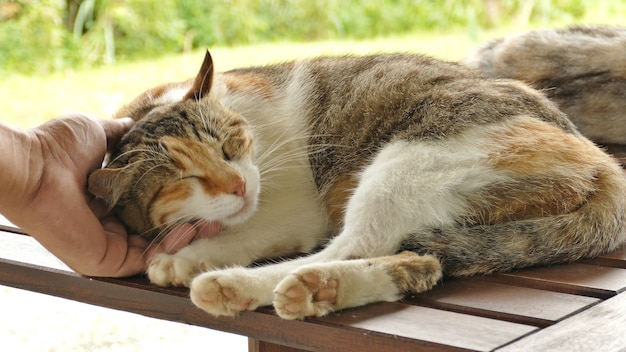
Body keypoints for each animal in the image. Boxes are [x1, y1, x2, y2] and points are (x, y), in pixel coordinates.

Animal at [88, 50, 624, 322]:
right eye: (186, 179)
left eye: (228, 146)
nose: (238, 185)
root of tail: (603, 161)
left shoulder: (293, 203)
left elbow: (250, 229)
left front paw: (189, 256)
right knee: (407, 258)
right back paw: (323, 292)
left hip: (409, 160)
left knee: (353, 244)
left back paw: (238, 286)